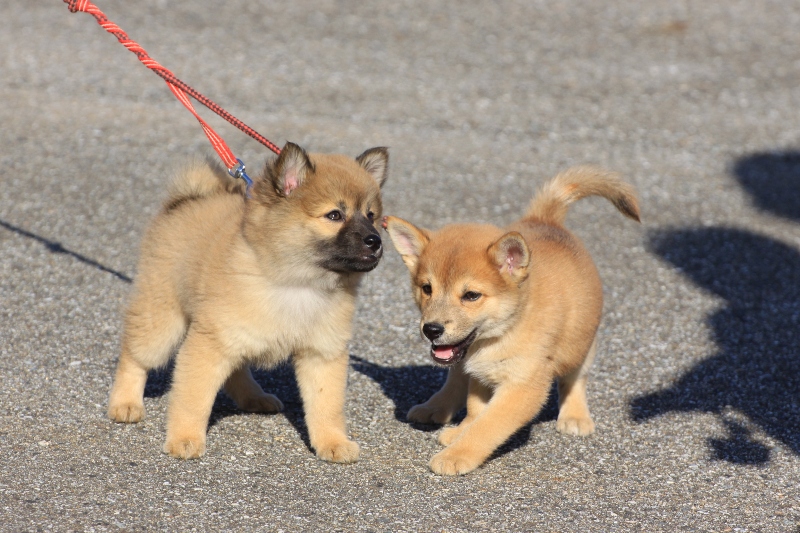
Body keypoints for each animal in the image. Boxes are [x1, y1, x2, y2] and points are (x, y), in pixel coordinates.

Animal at [108, 142, 390, 462]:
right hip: (162, 322)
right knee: (134, 355)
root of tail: (187, 201)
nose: (375, 241)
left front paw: (332, 442)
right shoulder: (208, 344)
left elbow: (326, 405)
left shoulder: (322, 353)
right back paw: (125, 403)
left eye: (370, 215)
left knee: (236, 370)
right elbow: (193, 398)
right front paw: (184, 438)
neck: (297, 284)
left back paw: (254, 397)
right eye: (334, 215)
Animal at [384, 166, 640, 474]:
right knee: (455, 379)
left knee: (575, 377)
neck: (503, 333)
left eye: (471, 295)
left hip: (582, 342)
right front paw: (459, 434)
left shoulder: (524, 386)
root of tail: (544, 220)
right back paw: (436, 408)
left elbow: (487, 426)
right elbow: (476, 411)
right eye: (426, 288)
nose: (431, 329)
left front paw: (456, 454)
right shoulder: (480, 376)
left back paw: (575, 416)